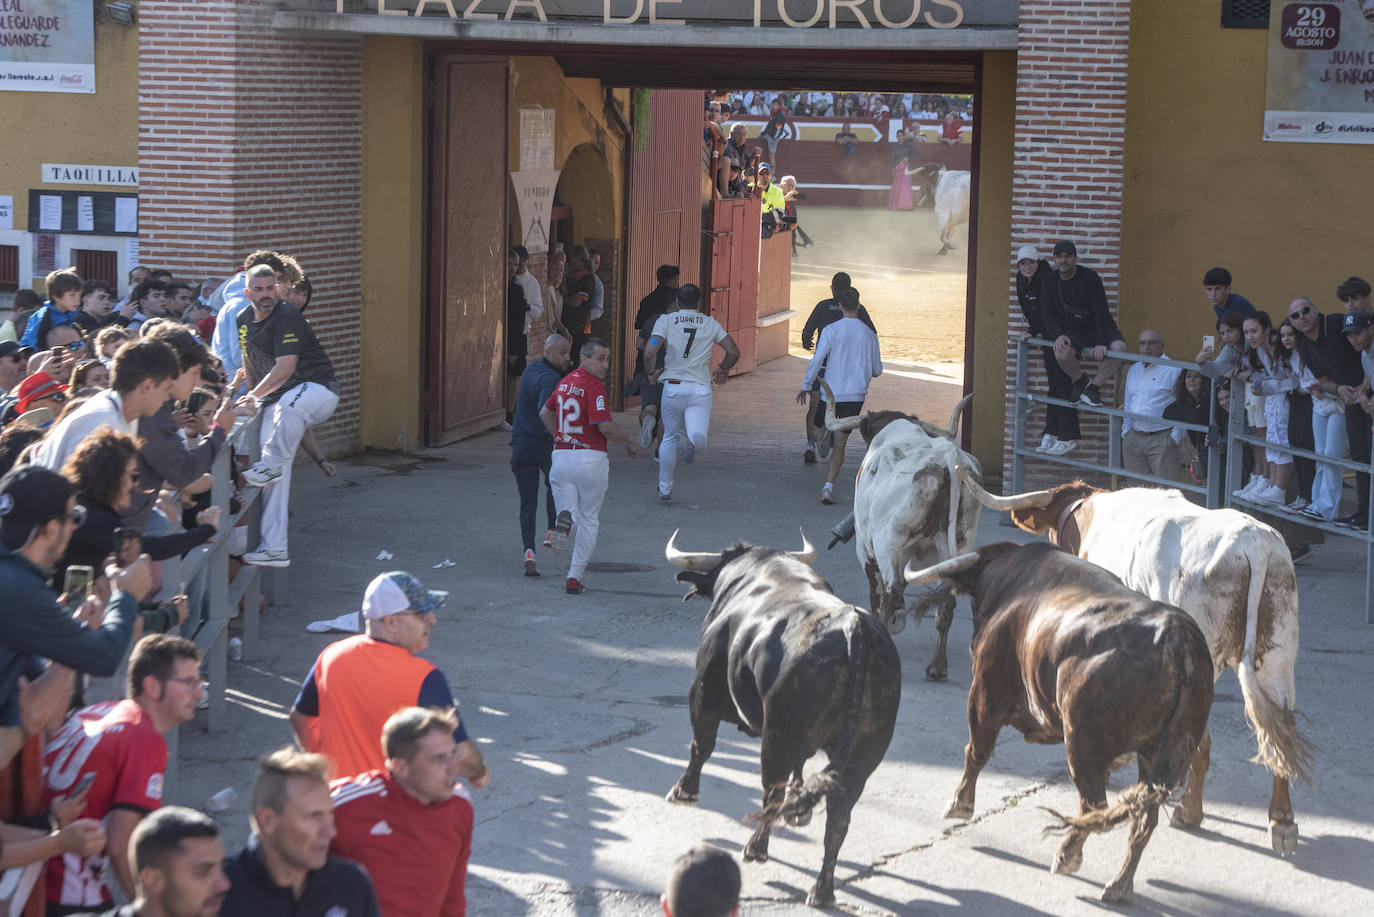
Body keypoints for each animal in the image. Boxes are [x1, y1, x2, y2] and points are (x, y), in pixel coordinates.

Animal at [662, 527, 901, 907]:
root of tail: (854, 628)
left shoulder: (702, 694)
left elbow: (701, 746)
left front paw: (683, 791)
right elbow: (800, 771)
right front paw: (799, 810)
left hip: (777, 738)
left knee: (770, 793)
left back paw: (756, 848)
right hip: (863, 756)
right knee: (838, 820)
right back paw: (821, 890)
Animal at [818, 382, 983, 681]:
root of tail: (948, 456)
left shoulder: (866, 548)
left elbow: (877, 592)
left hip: (887, 544)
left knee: (892, 591)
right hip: (958, 543)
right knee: (945, 603)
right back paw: (936, 667)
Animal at [912, 541, 1214, 907]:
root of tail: (1178, 639)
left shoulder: (985, 693)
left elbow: (976, 751)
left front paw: (959, 805)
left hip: (1082, 744)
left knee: (1094, 805)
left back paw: (1067, 856)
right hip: (1155, 756)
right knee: (1141, 819)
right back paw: (1118, 886)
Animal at [961, 472, 1313, 863]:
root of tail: (1255, 543)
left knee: (1203, 740)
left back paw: (1189, 811)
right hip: (1278, 649)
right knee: (1280, 730)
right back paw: (1281, 821)